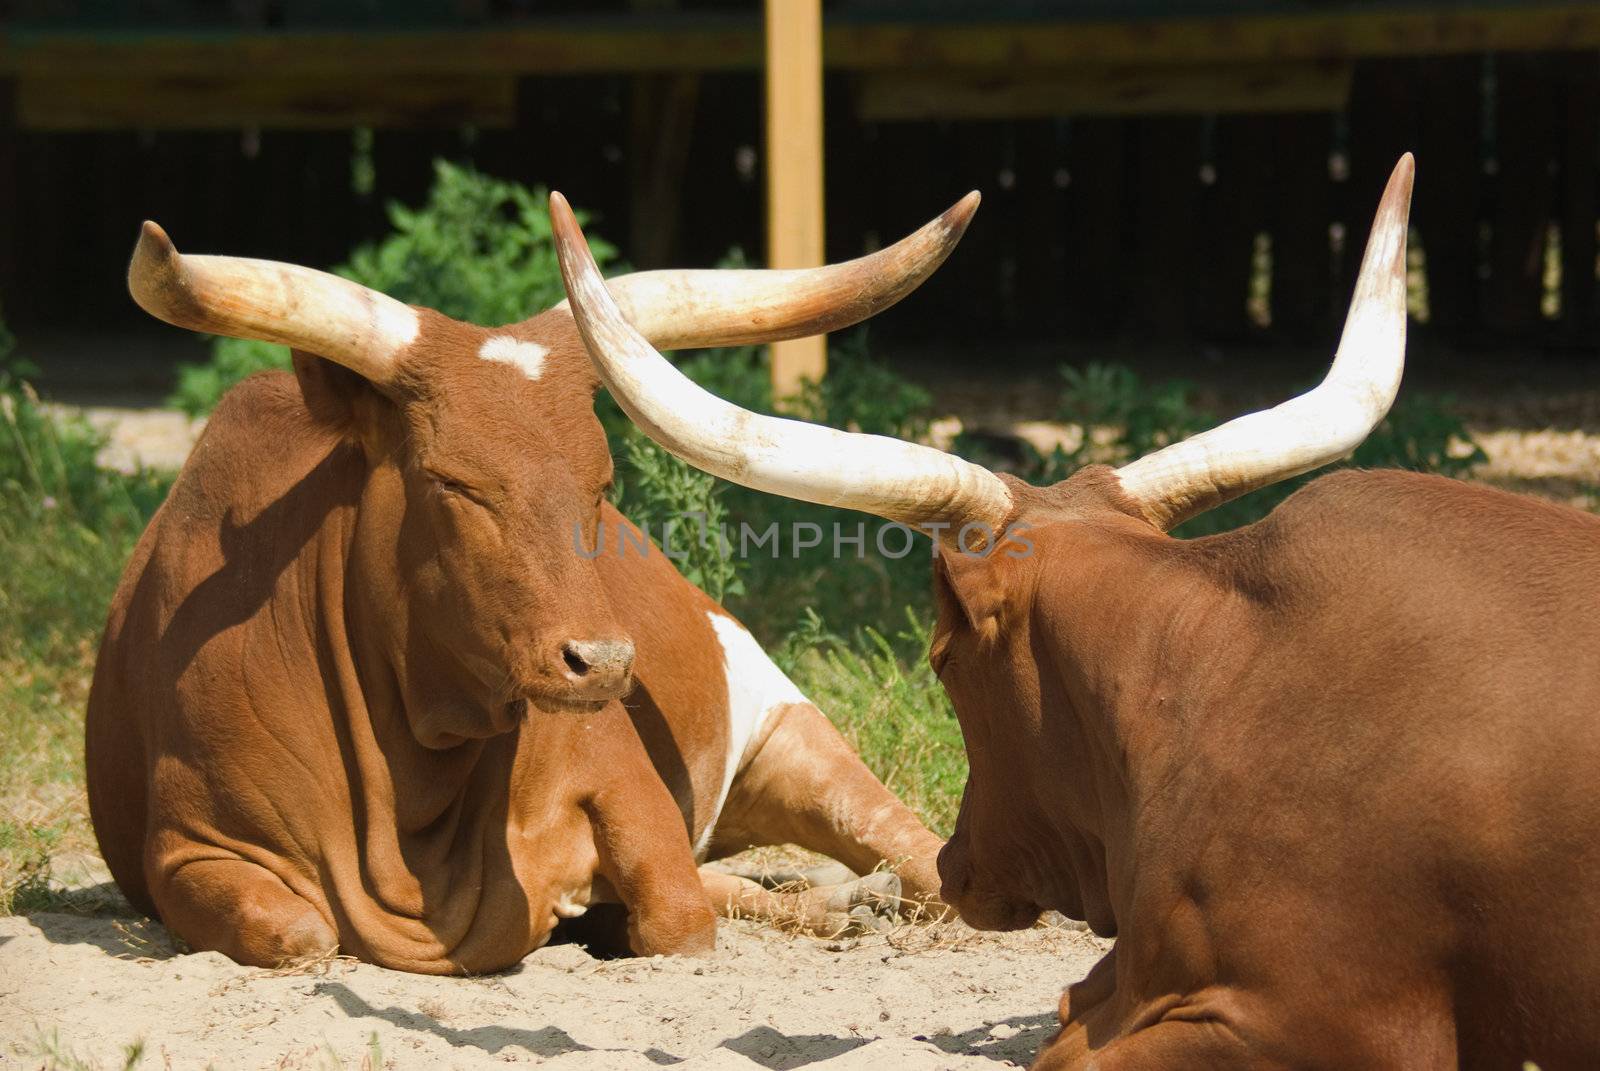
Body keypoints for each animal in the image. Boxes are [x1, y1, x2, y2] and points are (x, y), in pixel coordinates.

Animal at [93, 198, 979, 966]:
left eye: (602, 484)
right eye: (451, 481)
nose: (604, 662)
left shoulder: (620, 771)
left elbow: (677, 916)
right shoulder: (184, 847)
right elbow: (293, 929)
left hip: (787, 732)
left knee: (914, 860)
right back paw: (844, 901)